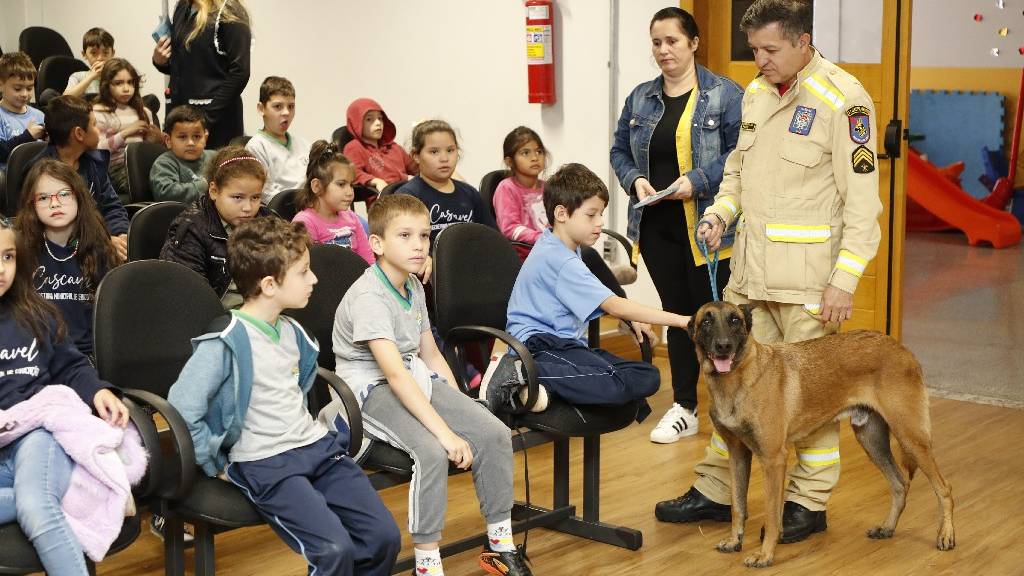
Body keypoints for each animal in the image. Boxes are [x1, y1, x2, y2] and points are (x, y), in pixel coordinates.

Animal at [688, 301, 958, 565]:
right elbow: (737, 506)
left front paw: (765, 555)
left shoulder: (773, 460)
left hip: (910, 437)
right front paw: (735, 541)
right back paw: (887, 527)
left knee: (944, 488)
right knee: (900, 484)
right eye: (706, 321)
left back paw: (945, 535)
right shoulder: (737, 455)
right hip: (871, 439)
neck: (738, 379)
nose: (723, 346)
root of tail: (901, 348)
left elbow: (772, 515)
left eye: (735, 320)